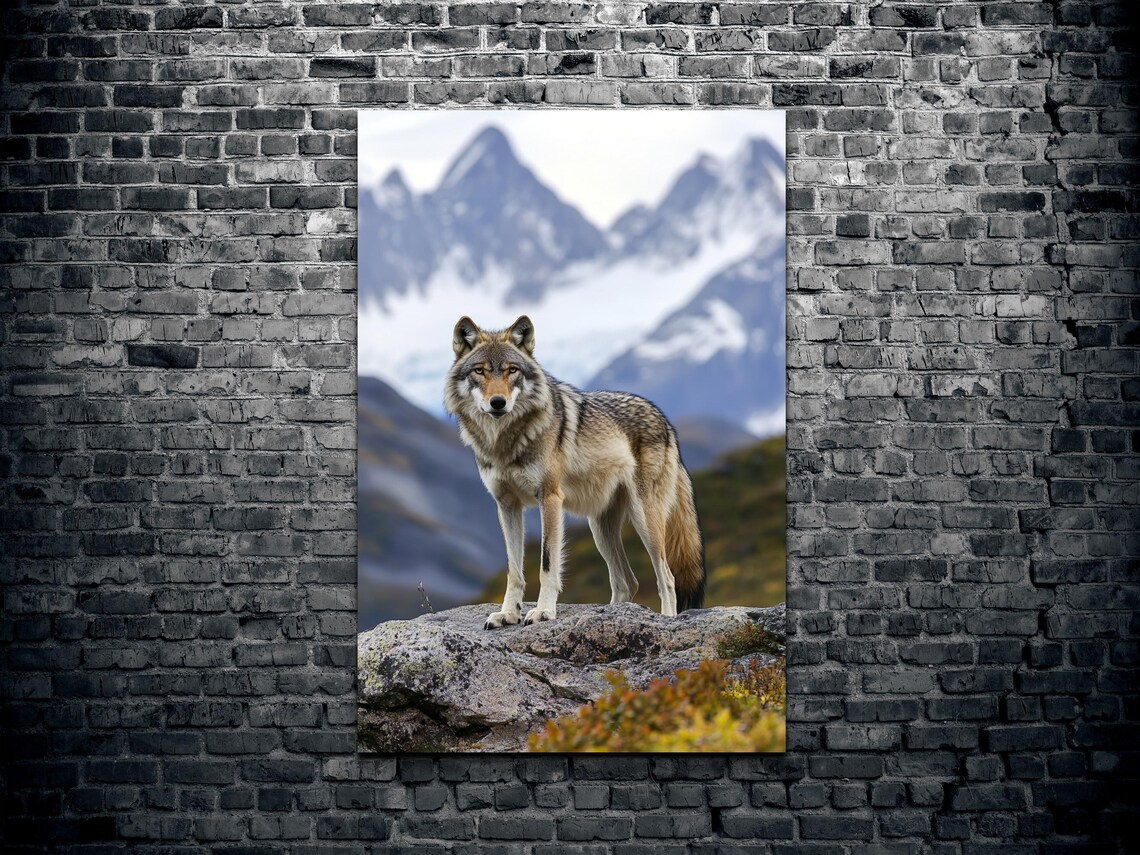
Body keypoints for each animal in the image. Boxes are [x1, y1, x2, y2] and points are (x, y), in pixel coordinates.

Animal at [444, 315, 706, 629]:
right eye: (480, 371)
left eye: (512, 370)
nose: (498, 402)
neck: (504, 442)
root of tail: (666, 422)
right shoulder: (506, 505)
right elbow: (514, 571)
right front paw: (508, 613)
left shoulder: (550, 499)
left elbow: (547, 565)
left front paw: (543, 611)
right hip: (600, 529)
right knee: (627, 582)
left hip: (645, 520)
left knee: (666, 577)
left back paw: (666, 620)